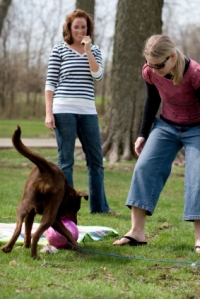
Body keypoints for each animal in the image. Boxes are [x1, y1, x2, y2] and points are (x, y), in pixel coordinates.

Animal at [1, 126, 88, 260]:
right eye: (76, 209)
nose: (76, 223)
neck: (68, 193)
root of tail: (48, 170)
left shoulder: (30, 213)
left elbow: (27, 230)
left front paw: (25, 246)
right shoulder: (56, 219)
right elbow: (68, 232)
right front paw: (77, 246)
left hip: (24, 204)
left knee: (19, 227)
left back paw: (8, 248)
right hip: (50, 215)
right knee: (37, 234)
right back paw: (34, 255)